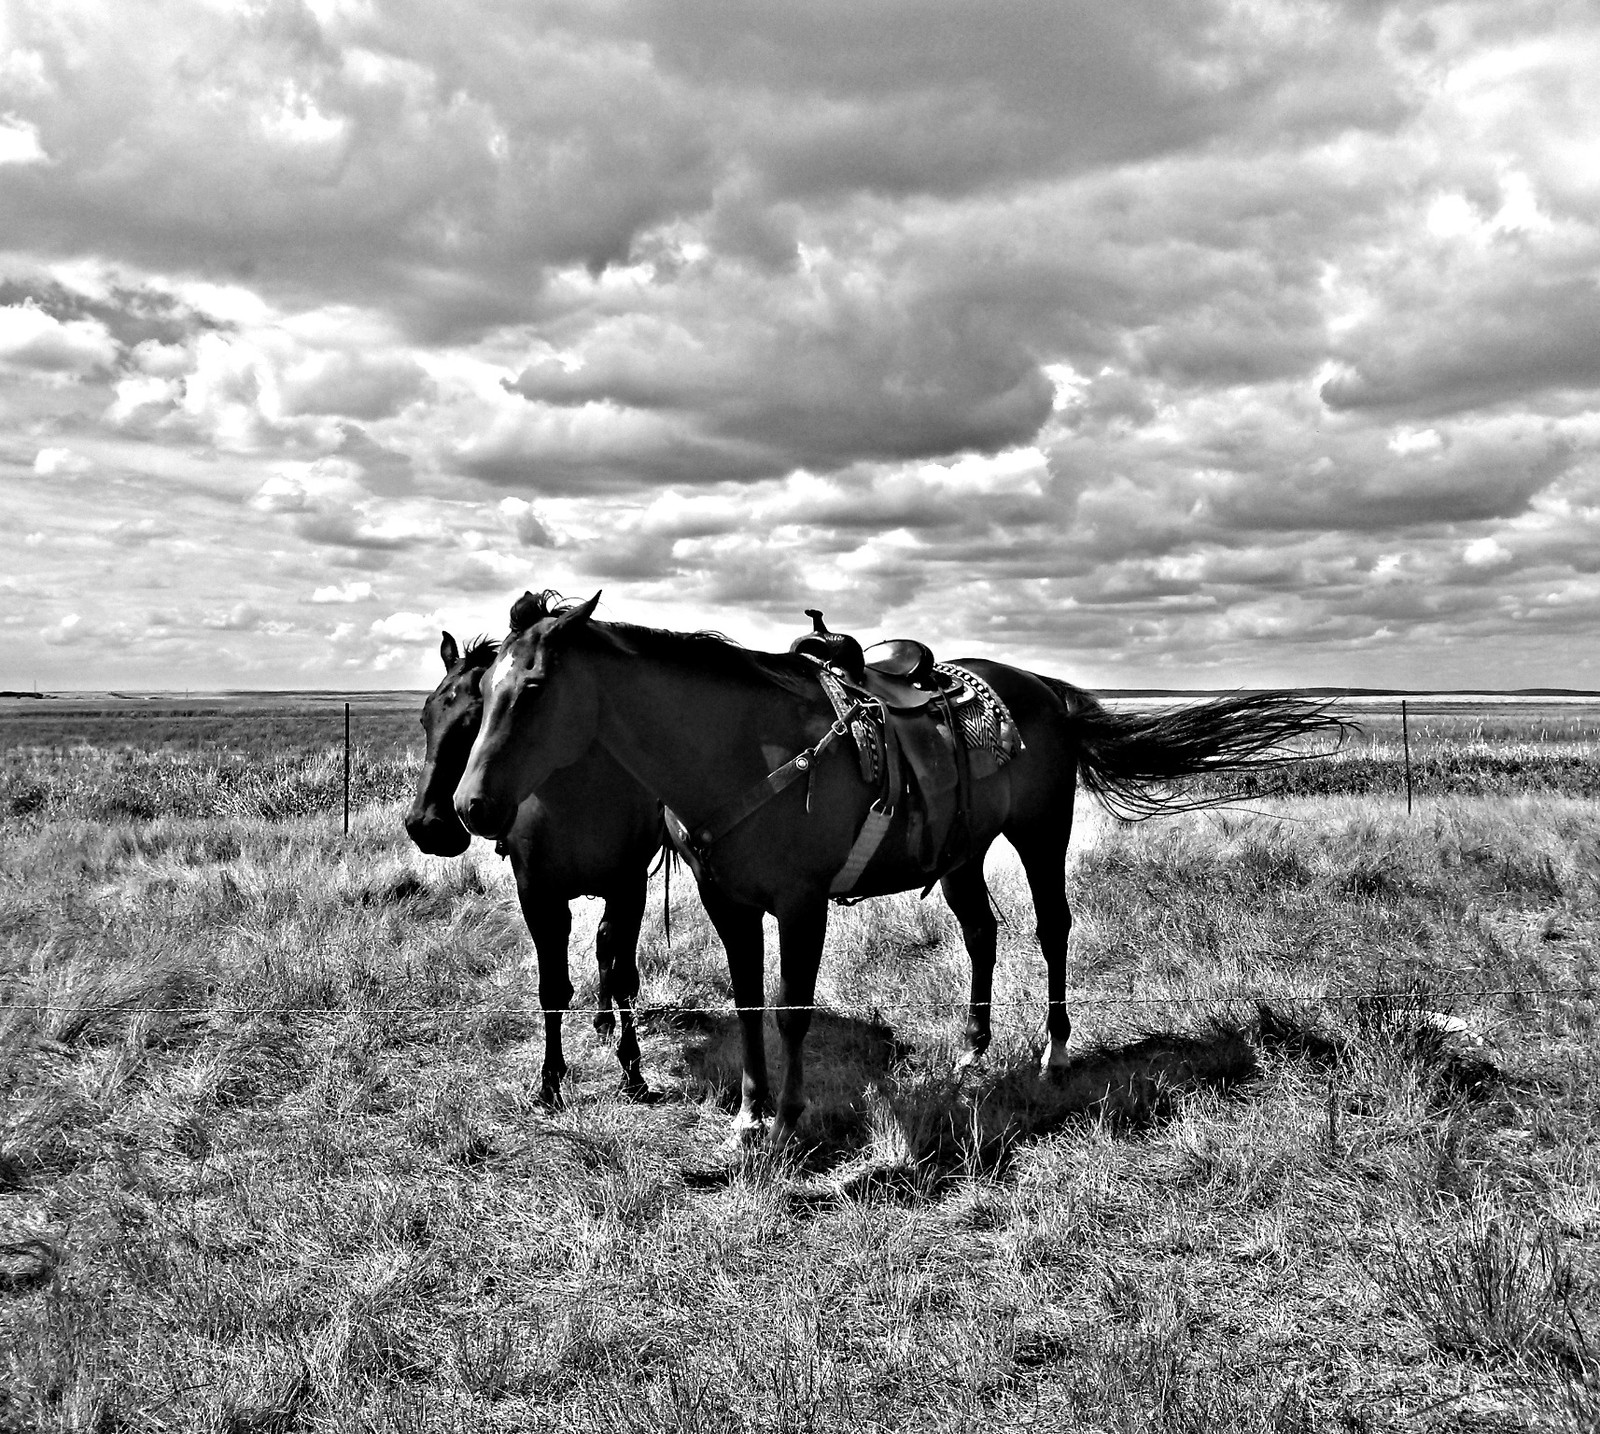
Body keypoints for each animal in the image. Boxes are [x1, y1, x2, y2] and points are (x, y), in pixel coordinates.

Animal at [412, 614, 668, 1101]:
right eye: (426, 717)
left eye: (474, 719)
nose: (426, 825)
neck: (580, 794)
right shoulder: (537, 893)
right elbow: (552, 988)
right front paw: (551, 1080)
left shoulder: (630, 887)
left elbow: (625, 977)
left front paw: (633, 1072)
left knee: (607, 950)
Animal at [444, 595, 1344, 1139]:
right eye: (478, 691)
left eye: (531, 688)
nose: (471, 808)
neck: (736, 750)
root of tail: (1046, 691)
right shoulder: (730, 902)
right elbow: (746, 1005)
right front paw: (748, 1115)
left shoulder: (801, 904)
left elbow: (792, 1009)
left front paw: (791, 1116)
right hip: (964, 853)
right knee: (983, 933)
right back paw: (974, 1052)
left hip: (1041, 834)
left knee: (1053, 928)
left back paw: (1054, 1053)